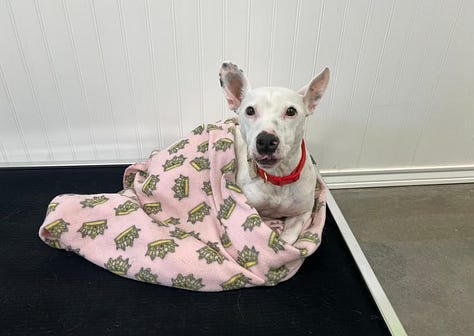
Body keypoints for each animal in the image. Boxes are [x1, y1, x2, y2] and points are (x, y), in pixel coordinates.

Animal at [219, 61, 328, 244]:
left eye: (291, 111)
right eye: (250, 110)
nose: (266, 141)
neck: (278, 176)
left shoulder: (302, 213)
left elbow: (288, 239)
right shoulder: (249, 208)